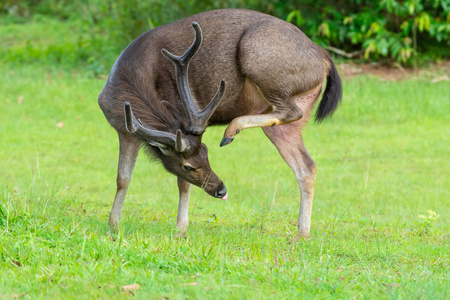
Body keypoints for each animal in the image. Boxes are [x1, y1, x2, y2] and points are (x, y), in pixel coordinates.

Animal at [98, 8, 342, 240]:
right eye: (189, 166)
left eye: (206, 154)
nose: (221, 189)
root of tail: (325, 58)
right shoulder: (124, 130)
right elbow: (123, 179)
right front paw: (113, 226)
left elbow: (181, 184)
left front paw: (180, 229)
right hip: (289, 118)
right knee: (307, 166)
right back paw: (301, 234)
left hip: (257, 57)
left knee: (292, 113)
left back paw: (231, 130)